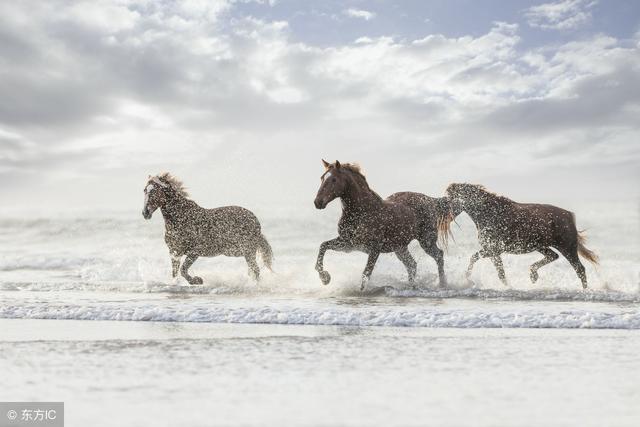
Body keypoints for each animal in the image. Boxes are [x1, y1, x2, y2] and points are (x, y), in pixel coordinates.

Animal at [141, 172, 272, 286]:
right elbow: (175, 274)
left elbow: (183, 270)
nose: (145, 213)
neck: (180, 218)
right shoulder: (174, 253)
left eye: (154, 191)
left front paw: (197, 280)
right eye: (144, 190)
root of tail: (255, 220)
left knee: (255, 270)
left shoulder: (194, 252)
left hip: (247, 250)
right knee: (252, 270)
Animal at [314, 160, 450, 290]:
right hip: (400, 247)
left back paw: (442, 284)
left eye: (334, 179)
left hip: (426, 241)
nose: (317, 202)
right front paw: (325, 278)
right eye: (322, 178)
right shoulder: (347, 243)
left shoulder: (374, 248)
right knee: (412, 265)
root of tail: (432, 200)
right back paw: (412, 287)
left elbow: (366, 274)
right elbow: (323, 246)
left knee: (439, 256)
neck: (362, 212)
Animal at [440, 184, 600, 290]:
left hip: (567, 247)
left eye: (448, 200)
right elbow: (485, 264)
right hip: (541, 246)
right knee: (553, 256)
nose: (443, 219)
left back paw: (584, 290)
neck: (488, 213)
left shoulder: (494, 249)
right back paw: (533, 275)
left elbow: (493, 269)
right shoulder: (492, 250)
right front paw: (469, 280)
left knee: (579, 269)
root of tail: (569, 215)